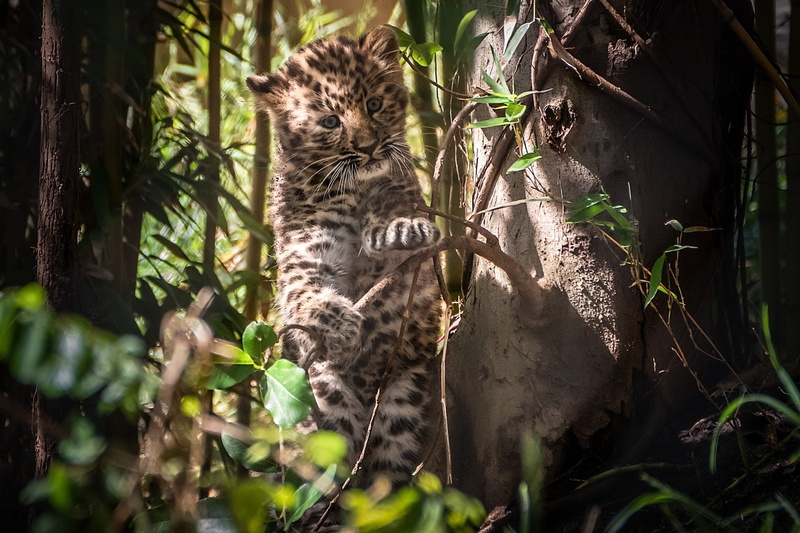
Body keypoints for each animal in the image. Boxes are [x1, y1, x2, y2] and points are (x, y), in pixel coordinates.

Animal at [247, 25, 443, 489]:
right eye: (330, 121)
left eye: (374, 104)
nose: (369, 147)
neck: (351, 190)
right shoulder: (304, 254)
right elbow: (304, 293)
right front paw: (342, 322)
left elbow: (395, 221)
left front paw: (403, 229)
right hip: (322, 391)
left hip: (402, 391)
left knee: (389, 466)